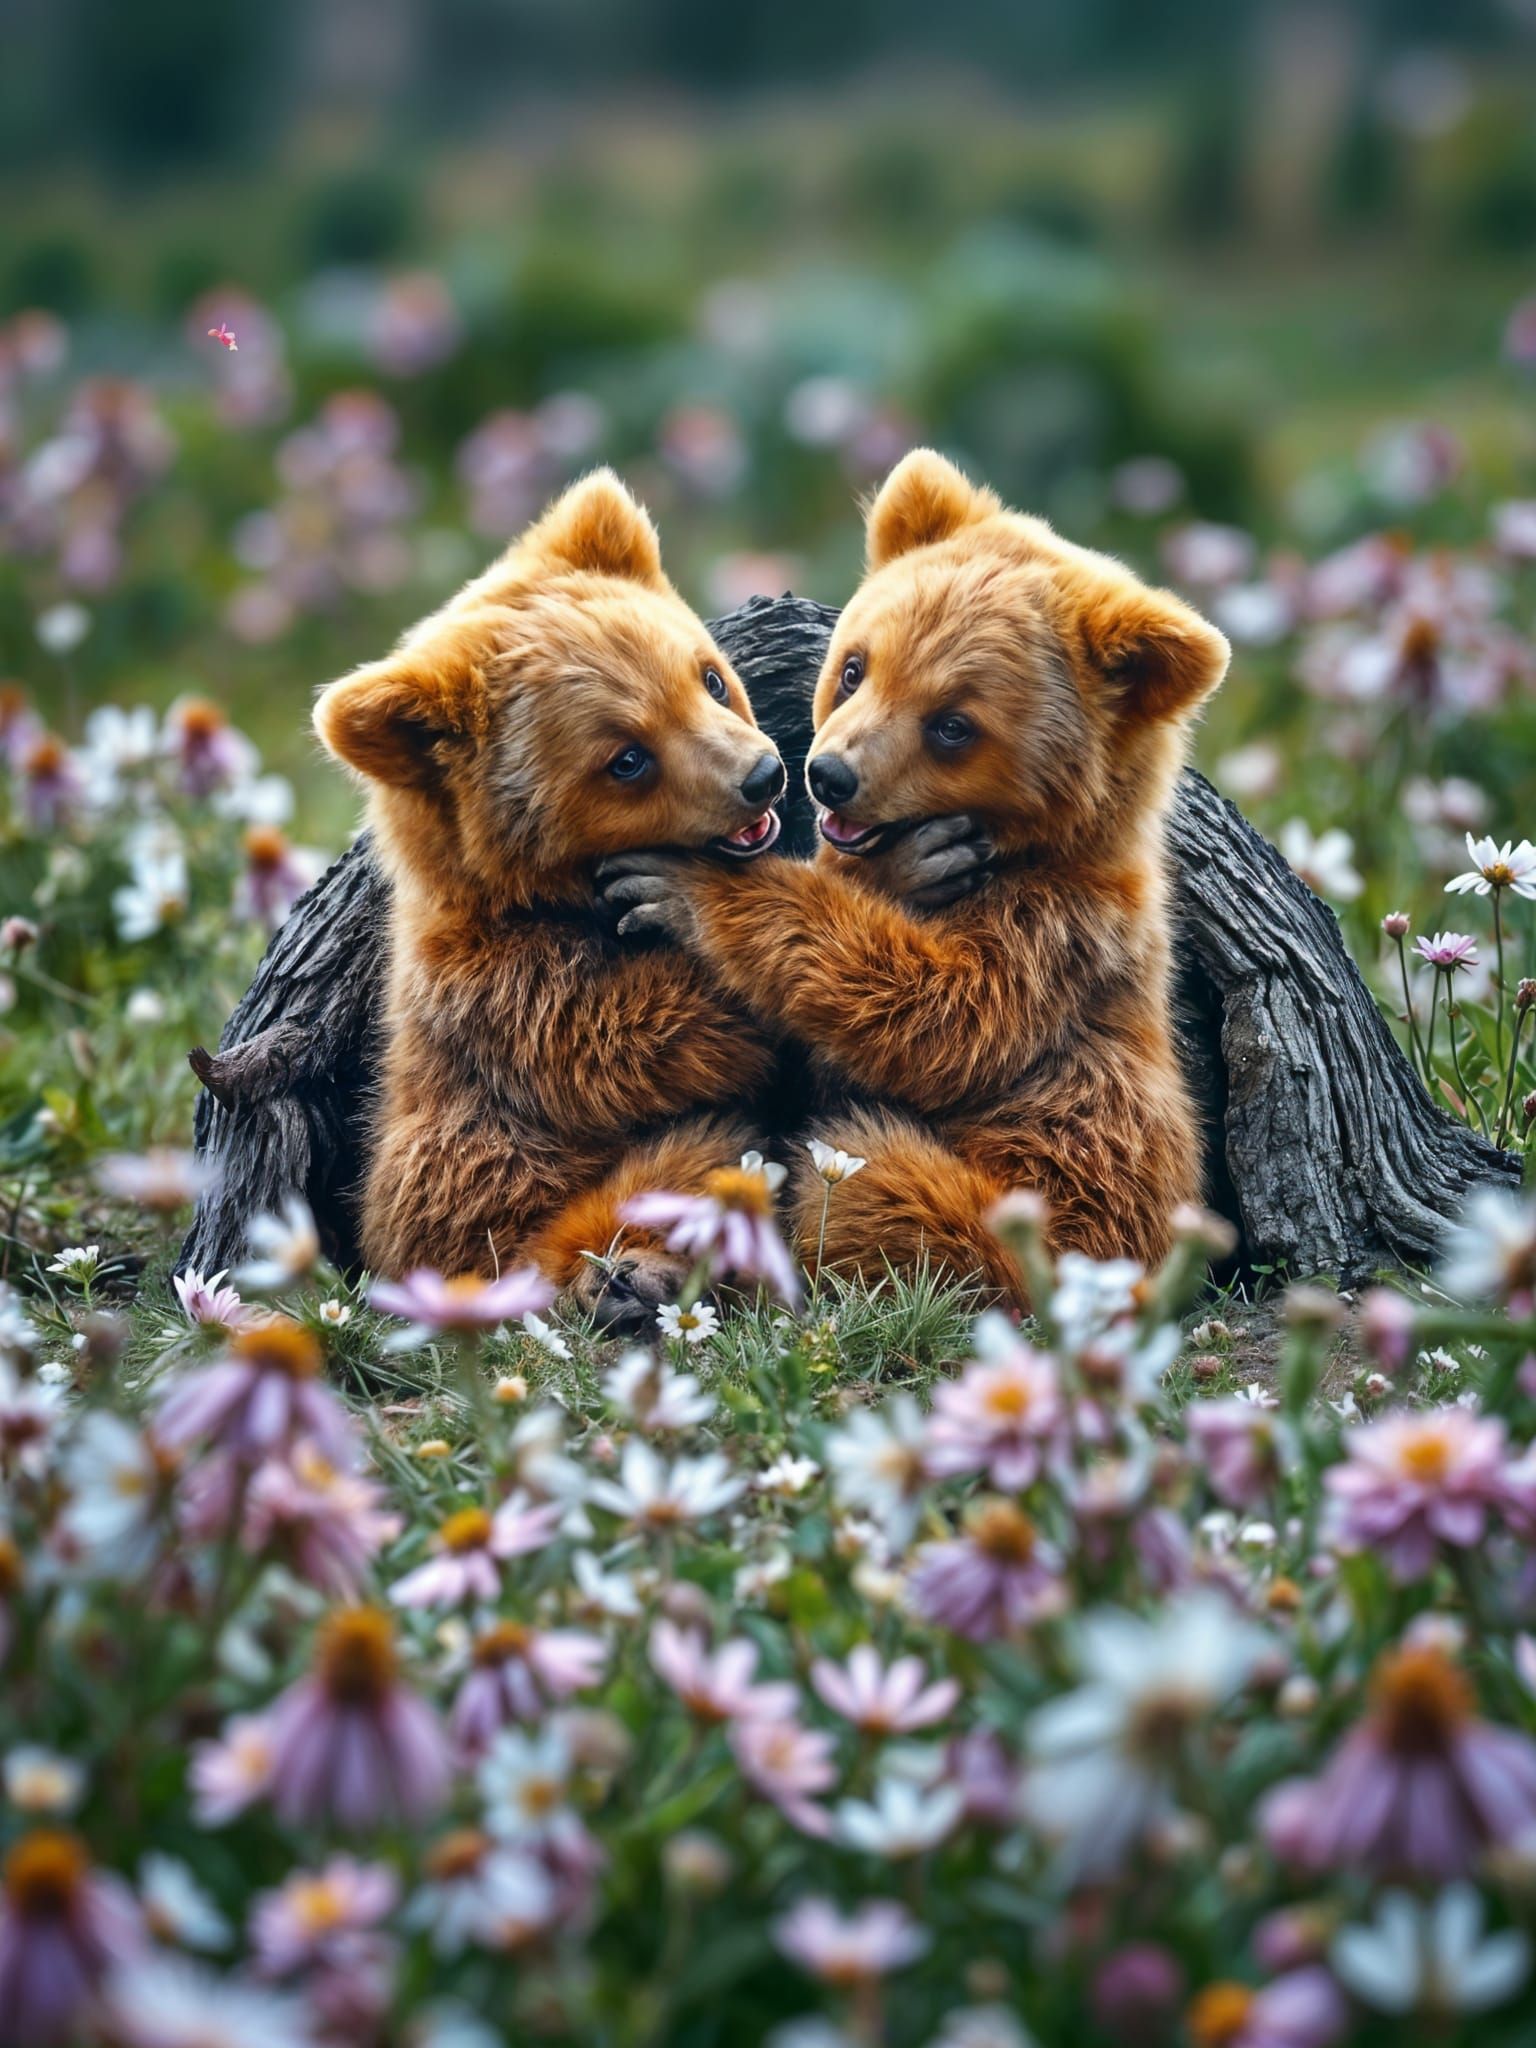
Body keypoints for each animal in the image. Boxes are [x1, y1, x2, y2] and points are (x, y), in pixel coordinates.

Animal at [312, 469, 795, 1330]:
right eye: (627, 759)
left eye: (708, 677)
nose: (761, 776)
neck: (552, 894)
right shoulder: (501, 988)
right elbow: (637, 1035)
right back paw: (631, 1275)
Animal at [596, 448, 1231, 1302]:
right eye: (856, 668)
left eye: (953, 725)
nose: (829, 775)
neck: (1031, 844)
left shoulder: (1057, 931)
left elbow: (934, 1013)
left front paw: (686, 890)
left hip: (1054, 1223)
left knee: (881, 1187)